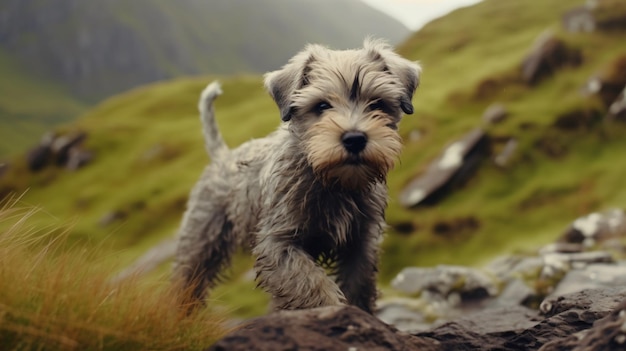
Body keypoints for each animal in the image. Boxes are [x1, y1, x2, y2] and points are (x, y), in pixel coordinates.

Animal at [172, 39, 420, 314]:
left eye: (377, 103)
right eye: (321, 105)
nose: (355, 139)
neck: (332, 182)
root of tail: (222, 156)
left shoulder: (360, 244)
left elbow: (358, 287)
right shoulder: (279, 244)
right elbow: (310, 284)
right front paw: (330, 310)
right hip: (202, 239)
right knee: (187, 279)